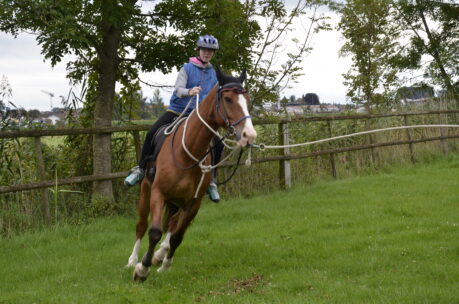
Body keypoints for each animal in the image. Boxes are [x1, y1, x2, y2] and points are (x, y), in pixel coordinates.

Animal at [126, 67, 256, 282]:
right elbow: (154, 232)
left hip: (177, 202)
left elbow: (178, 236)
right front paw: (142, 269)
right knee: (141, 225)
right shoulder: (158, 193)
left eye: (247, 99)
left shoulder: (193, 204)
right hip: (146, 189)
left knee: (171, 225)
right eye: (228, 99)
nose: (249, 135)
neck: (186, 153)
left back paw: (159, 255)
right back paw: (132, 259)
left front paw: (164, 265)